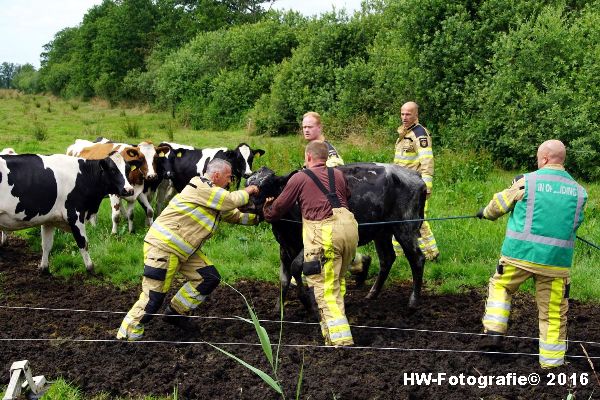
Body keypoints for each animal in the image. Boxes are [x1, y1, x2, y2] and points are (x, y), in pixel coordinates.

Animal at [0, 152, 137, 274]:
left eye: (127, 170)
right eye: (113, 170)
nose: (129, 190)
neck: (84, 176)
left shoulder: (49, 219)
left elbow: (46, 245)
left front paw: (44, 270)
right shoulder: (75, 215)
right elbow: (83, 243)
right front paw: (91, 269)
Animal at [246, 162, 428, 312]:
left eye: (267, 185)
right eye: (247, 183)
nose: (247, 205)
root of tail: (415, 176)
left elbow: (296, 267)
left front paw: (307, 302)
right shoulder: (284, 246)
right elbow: (284, 277)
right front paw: (279, 307)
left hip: (405, 228)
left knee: (417, 259)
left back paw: (413, 301)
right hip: (382, 231)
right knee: (387, 258)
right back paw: (372, 293)